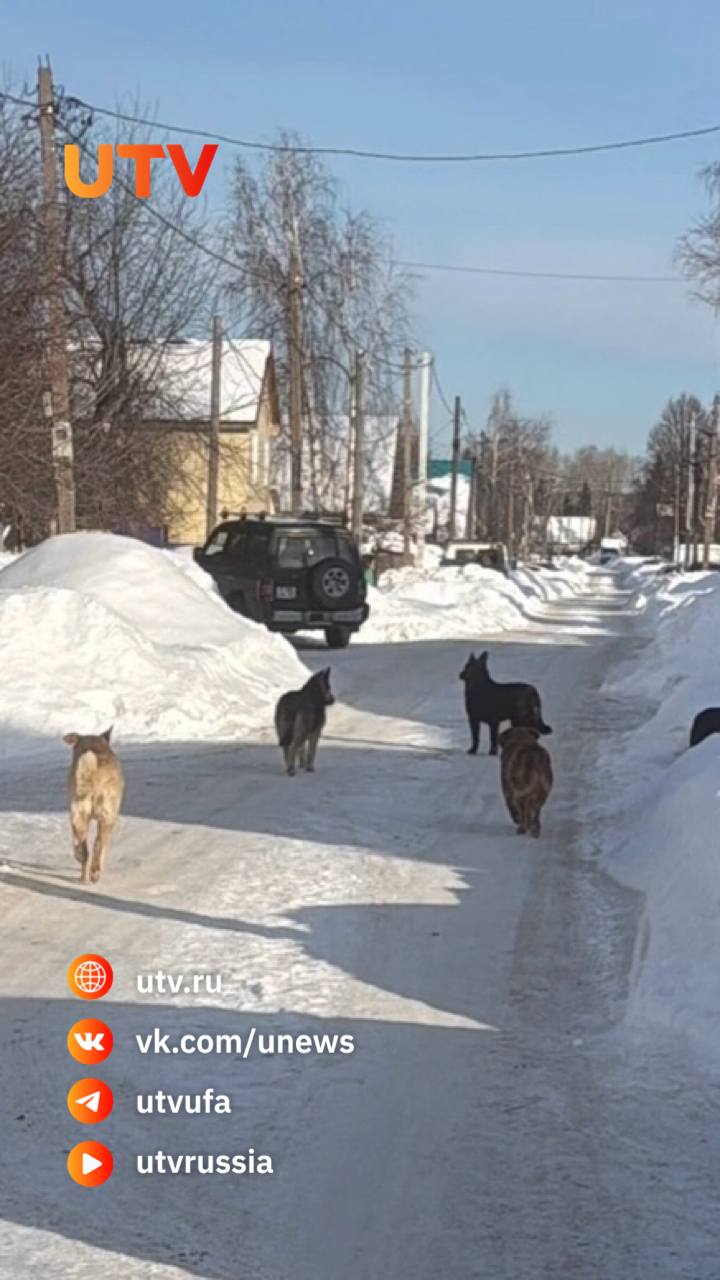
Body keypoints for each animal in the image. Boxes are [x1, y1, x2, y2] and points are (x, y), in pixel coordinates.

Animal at [63, 727, 124, 885]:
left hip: (78, 816)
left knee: (85, 851)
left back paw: (84, 876)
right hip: (106, 819)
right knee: (98, 845)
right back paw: (94, 873)